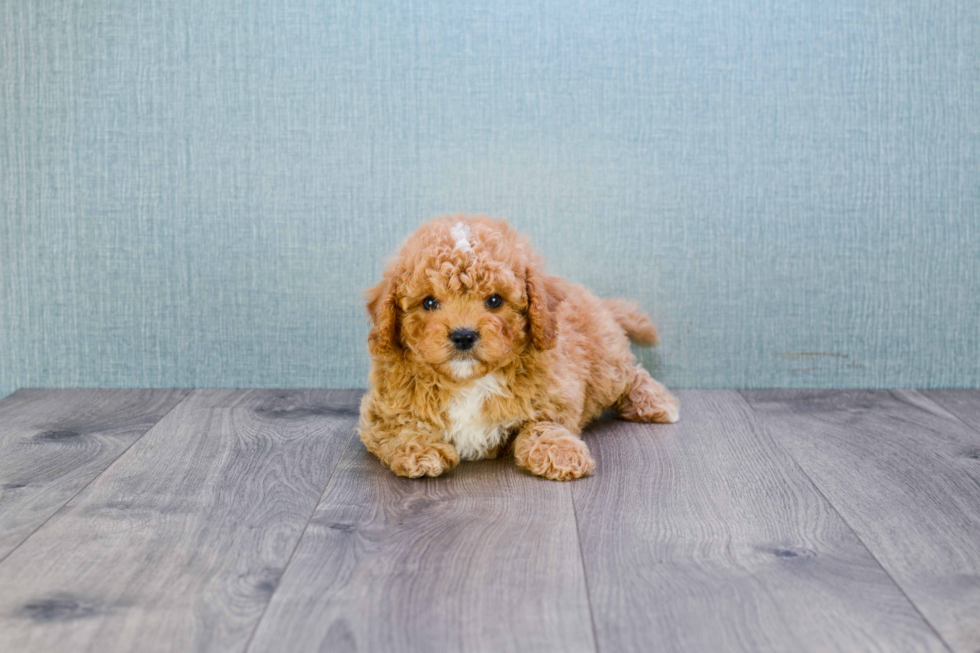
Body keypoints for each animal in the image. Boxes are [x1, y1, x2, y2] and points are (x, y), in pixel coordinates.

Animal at [356, 214, 676, 478]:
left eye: (495, 300)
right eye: (429, 302)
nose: (463, 335)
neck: (469, 381)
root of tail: (596, 301)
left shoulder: (554, 394)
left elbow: (543, 425)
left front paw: (560, 452)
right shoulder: (382, 409)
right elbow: (400, 428)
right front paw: (421, 451)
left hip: (604, 366)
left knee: (632, 375)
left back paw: (658, 403)